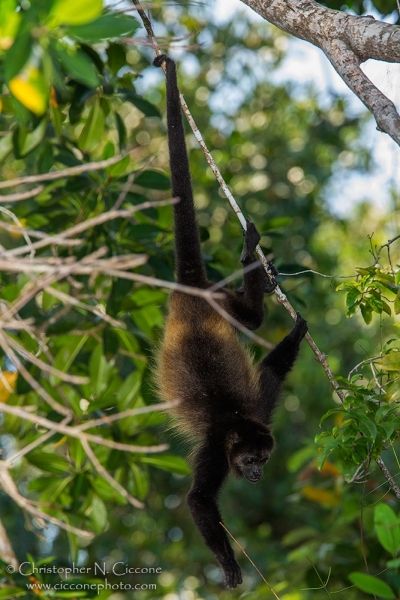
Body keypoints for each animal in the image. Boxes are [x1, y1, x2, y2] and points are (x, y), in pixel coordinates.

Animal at [155, 54, 308, 588]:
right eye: (249, 460)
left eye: (265, 459)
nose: (258, 474)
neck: (240, 425)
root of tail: (193, 291)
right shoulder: (215, 447)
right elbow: (198, 498)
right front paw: (229, 564)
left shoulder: (260, 409)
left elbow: (272, 369)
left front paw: (298, 330)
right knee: (253, 324)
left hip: (220, 300)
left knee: (252, 324)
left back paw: (252, 275)